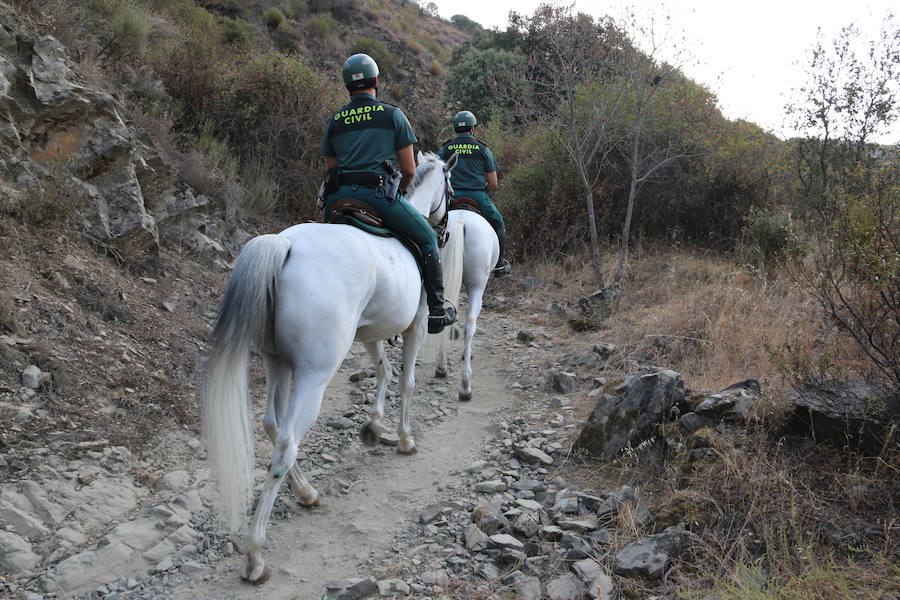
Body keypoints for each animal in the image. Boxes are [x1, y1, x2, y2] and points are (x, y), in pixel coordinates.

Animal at [203, 152, 458, 584]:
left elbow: (384, 371)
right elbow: (405, 381)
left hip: (277, 362)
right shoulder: (419, 325)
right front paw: (404, 438)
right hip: (313, 375)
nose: (443, 232)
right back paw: (255, 555)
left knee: (273, 426)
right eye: (452, 188)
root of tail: (285, 244)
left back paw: (306, 492)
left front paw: (373, 426)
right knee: (286, 441)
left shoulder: (371, 332)